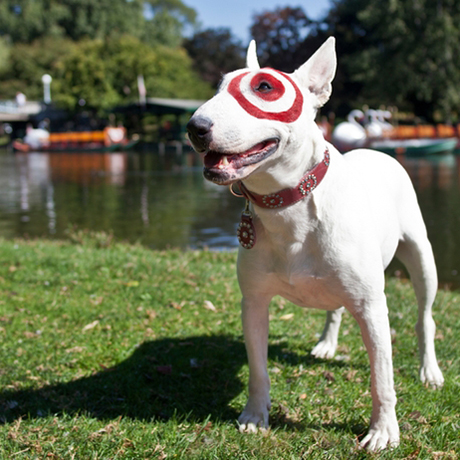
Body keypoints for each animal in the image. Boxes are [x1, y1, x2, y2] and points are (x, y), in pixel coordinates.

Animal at [186, 37, 442, 452]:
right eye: (220, 86)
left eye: (265, 87)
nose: (195, 128)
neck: (287, 205)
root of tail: (376, 150)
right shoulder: (253, 303)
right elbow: (258, 368)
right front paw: (254, 415)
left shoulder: (373, 308)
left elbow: (381, 377)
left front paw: (383, 430)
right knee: (334, 308)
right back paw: (326, 343)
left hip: (421, 256)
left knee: (425, 317)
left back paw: (430, 370)